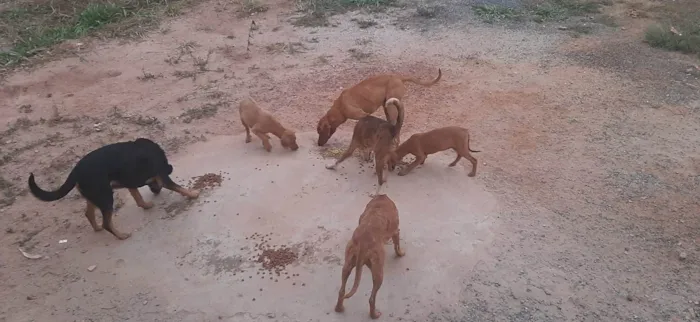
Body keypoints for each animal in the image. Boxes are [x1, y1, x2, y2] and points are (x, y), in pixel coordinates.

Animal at [27, 137, 197, 240]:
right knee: (107, 223)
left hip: (96, 195)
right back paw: (121, 235)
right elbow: (177, 187)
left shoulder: (129, 181)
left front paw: (145, 205)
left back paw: (97, 228)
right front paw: (193, 194)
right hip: (106, 196)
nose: (156, 192)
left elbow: (138, 197)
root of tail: (75, 171)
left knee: (89, 214)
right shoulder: (162, 175)